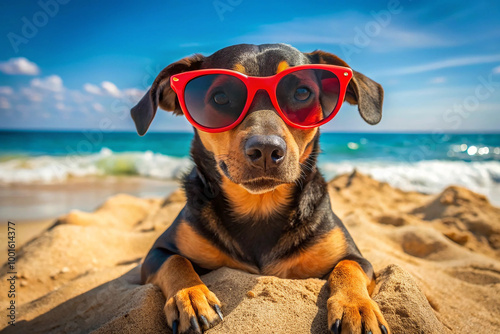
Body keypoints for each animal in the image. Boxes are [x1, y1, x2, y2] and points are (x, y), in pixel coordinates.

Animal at [131, 44, 388, 334]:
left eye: (302, 92)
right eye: (220, 97)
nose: (266, 149)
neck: (260, 206)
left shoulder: (356, 256)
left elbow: (348, 265)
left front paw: (357, 306)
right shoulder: (157, 252)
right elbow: (175, 261)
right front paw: (190, 295)